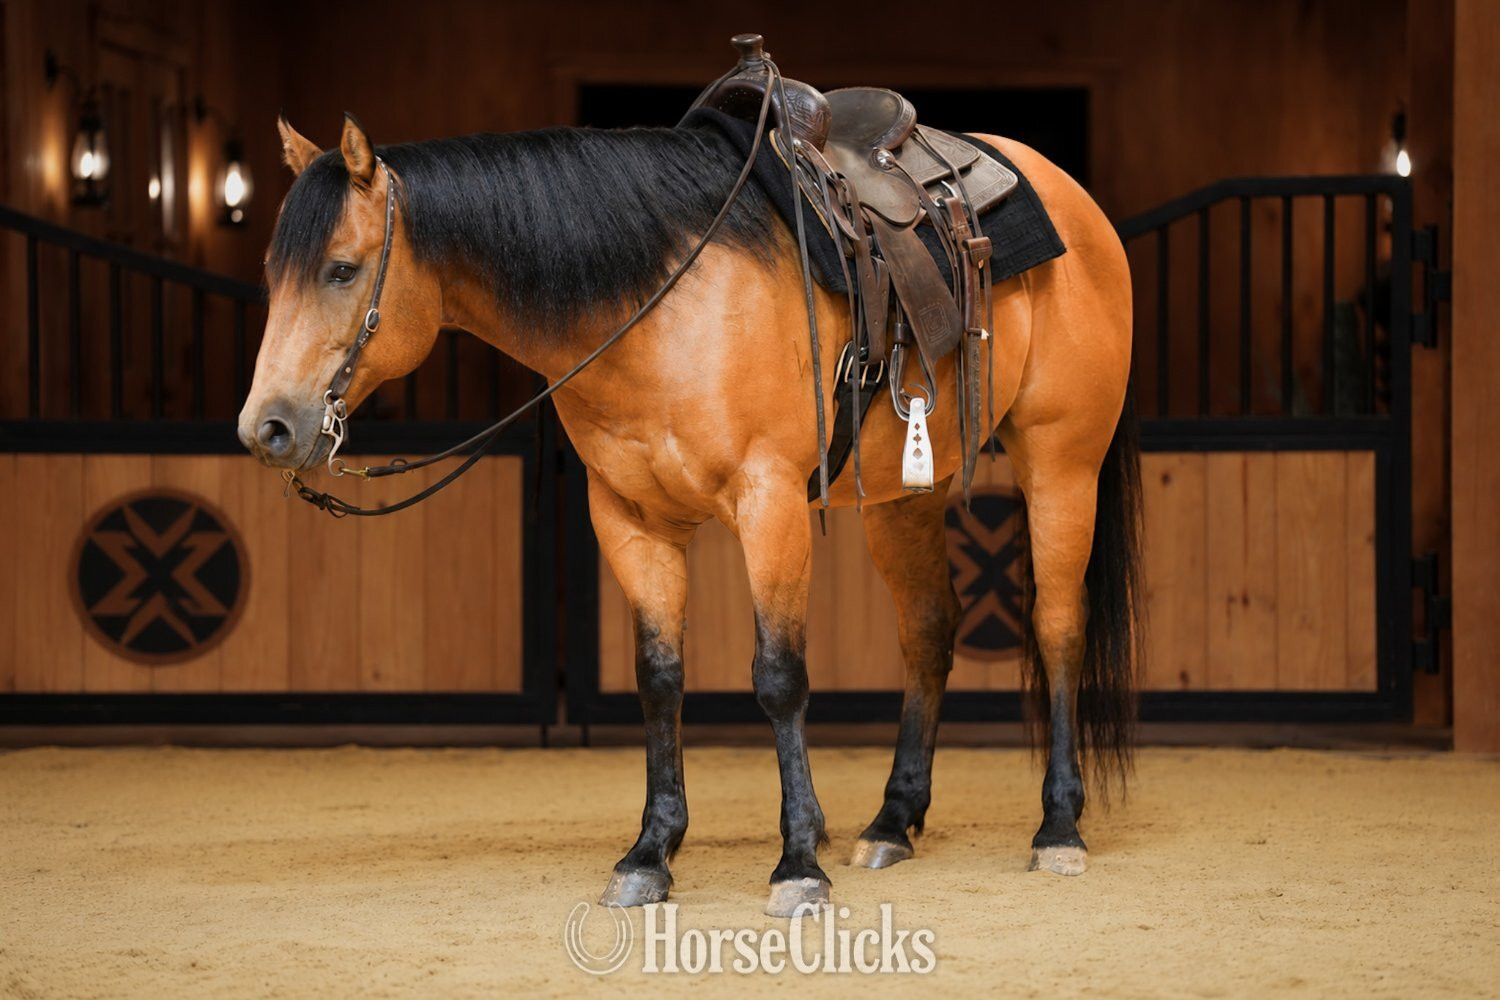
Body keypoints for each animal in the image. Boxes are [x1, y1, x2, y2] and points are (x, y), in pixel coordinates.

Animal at [238, 104, 1141, 917]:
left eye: (342, 269)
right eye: (274, 276)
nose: (266, 428)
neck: (662, 304)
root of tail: (1076, 203)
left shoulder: (768, 503)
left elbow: (779, 679)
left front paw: (798, 865)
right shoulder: (629, 519)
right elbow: (659, 680)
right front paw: (650, 854)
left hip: (1061, 464)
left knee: (1058, 626)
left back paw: (1058, 828)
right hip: (900, 499)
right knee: (928, 632)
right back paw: (892, 821)